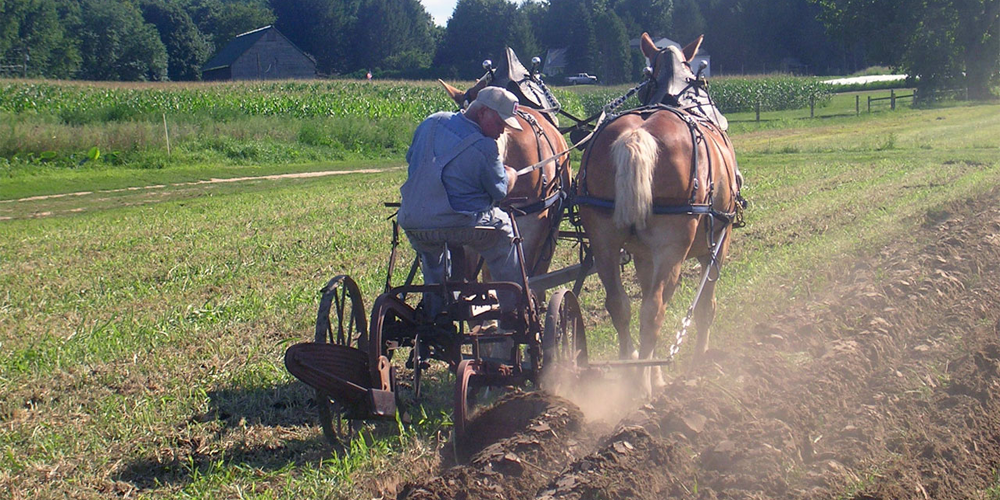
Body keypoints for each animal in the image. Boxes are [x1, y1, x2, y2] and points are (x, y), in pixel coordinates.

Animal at [580, 33, 744, 396]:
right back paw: (644, 384)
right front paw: (698, 364)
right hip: (673, 249)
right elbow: (705, 307)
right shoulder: (718, 245)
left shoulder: (643, 255)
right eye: (701, 80)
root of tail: (635, 136)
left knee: (621, 305)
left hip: (603, 242)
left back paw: (631, 373)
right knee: (653, 311)